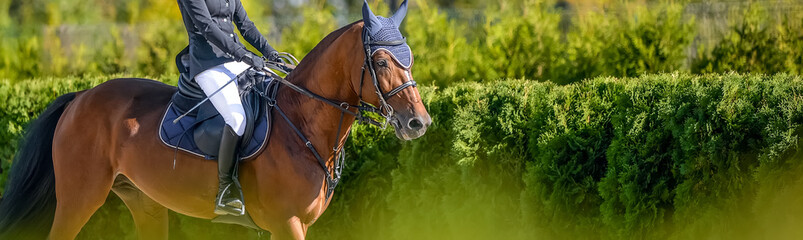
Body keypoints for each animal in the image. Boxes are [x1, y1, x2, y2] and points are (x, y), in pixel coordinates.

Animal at [0, 1, 430, 238]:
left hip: (144, 202)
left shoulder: (294, 225)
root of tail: (80, 97)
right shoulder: (287, 223)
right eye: (380, 61)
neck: (302, 124)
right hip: (79, 198)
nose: (418, 123)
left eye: (408, 56)